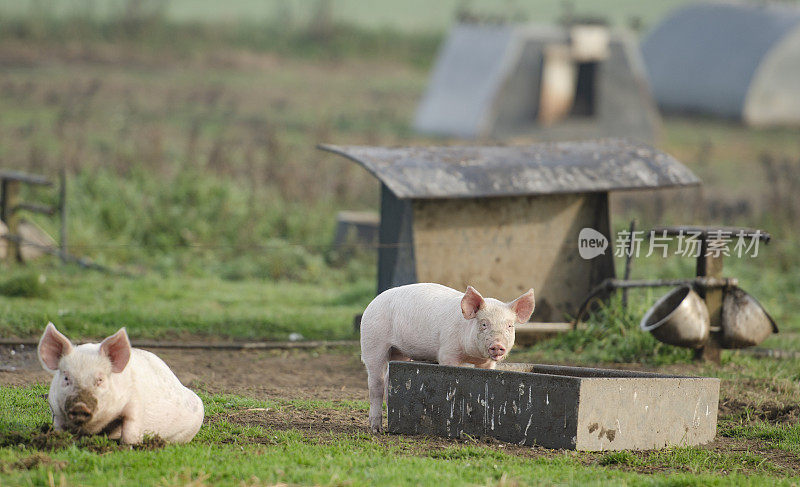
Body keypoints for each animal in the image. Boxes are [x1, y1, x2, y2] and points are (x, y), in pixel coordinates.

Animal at [39, 322, 205, 444]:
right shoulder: (55, 409)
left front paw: (129, 446)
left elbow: (131, 427)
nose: (80, 406)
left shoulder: (134, 401)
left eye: (100, 380)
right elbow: (58, 427)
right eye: (66, 378)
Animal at [360, 284, 536, 432]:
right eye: (484, 324)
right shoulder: (447, 352)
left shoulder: (487, 363)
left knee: (389, 377)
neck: (471, 356)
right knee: (375, 383)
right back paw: (376, 429)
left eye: (510, 325)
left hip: (400, 351)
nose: (498, 345)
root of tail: (372, 302)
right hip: (372, 342)